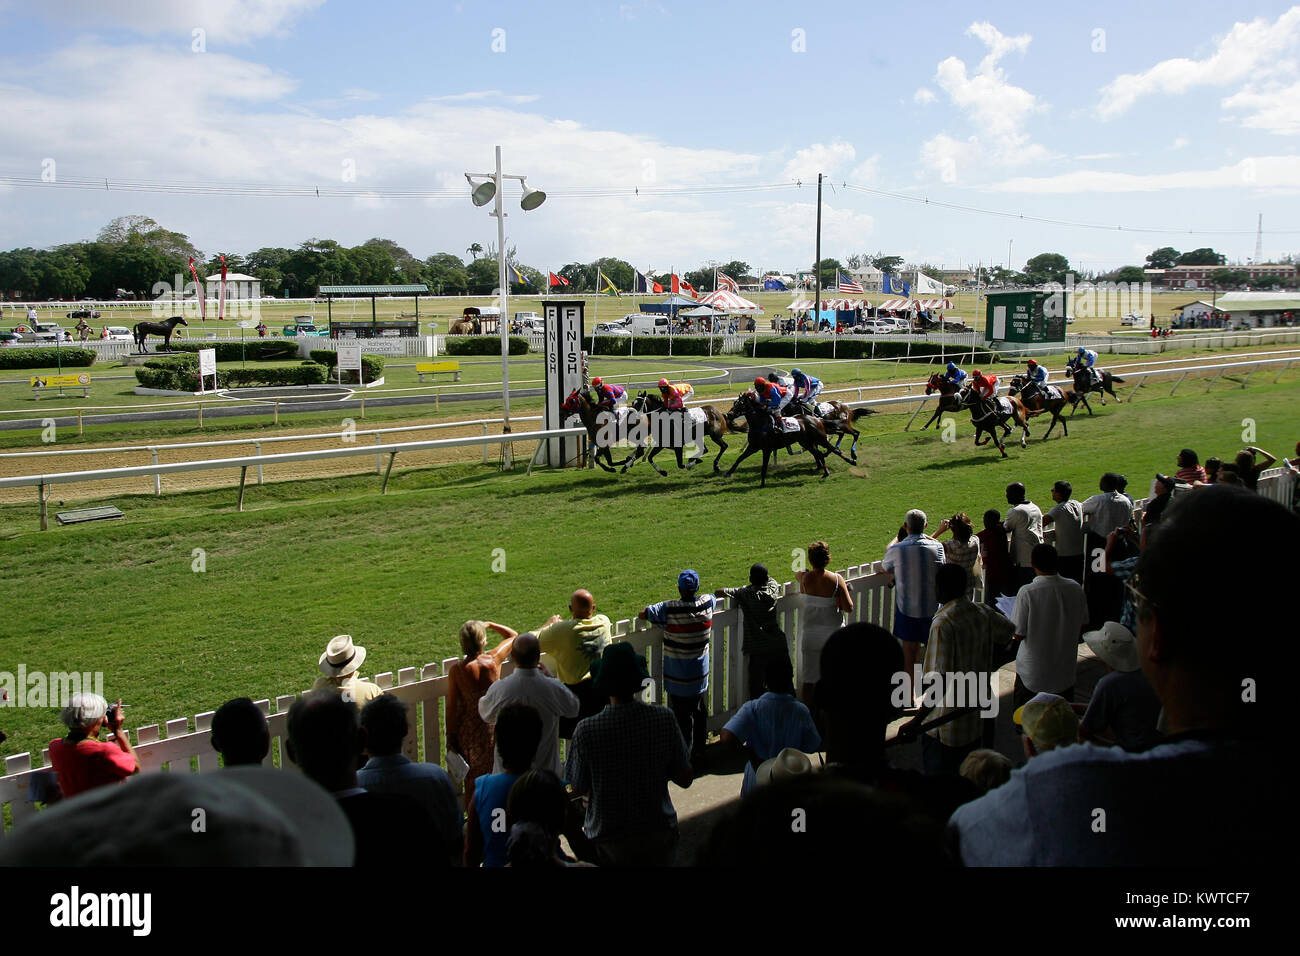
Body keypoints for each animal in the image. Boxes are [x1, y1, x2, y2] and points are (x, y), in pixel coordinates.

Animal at [722, 392, 852, 489]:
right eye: (734, 403)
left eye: (741, 403)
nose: (728, 415)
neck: (761, 424)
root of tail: (816, 418)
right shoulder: (754, 446)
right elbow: (739, 458)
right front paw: (728, 473)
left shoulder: (767, 449)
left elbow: (764, 467)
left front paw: (762, 483)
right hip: (807, 442)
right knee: (819, 453)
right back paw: (825, 472)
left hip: (820, 438)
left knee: (833, 449)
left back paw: (851, 460)